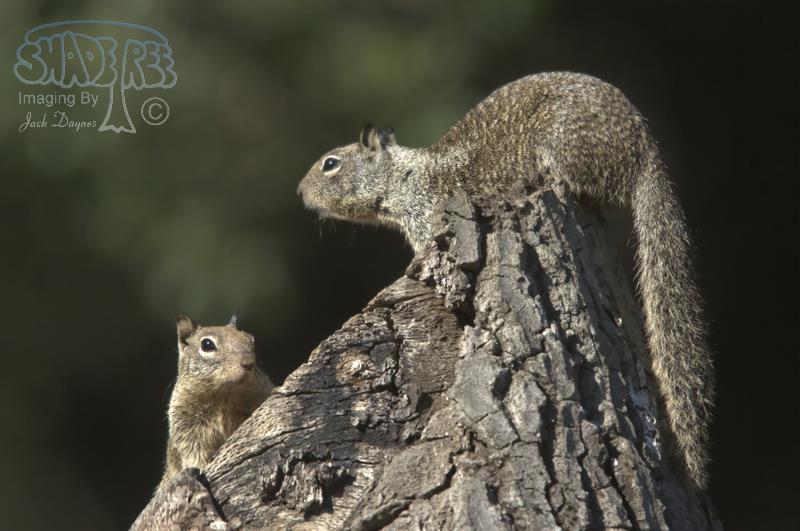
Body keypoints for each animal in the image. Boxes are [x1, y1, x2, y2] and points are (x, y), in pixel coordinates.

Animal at [159, 314, 274, 489]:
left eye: (250, 338)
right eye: (207, 345)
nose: (249, 363)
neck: (224, 396)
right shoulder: (186, 425)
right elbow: (192, 451)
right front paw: (199, 468)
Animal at [297, 71, 714, 490]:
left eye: (330, 163)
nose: (299, 192)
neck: (406, 178)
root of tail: (646, 150)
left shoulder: (430, 225)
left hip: (563, 142)